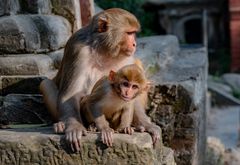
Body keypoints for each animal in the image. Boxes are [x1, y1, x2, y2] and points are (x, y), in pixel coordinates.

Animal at [39, 8, 160, 151]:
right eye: (129, 33)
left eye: (133, 33)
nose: (135, 44)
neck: (105, 50)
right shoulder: (78, 50)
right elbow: (71, 94)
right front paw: (74, 127)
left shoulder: (128, 59)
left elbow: (132, 96)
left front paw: (147, 125)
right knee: (45, 83)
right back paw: (63, 124)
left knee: (138, 63)